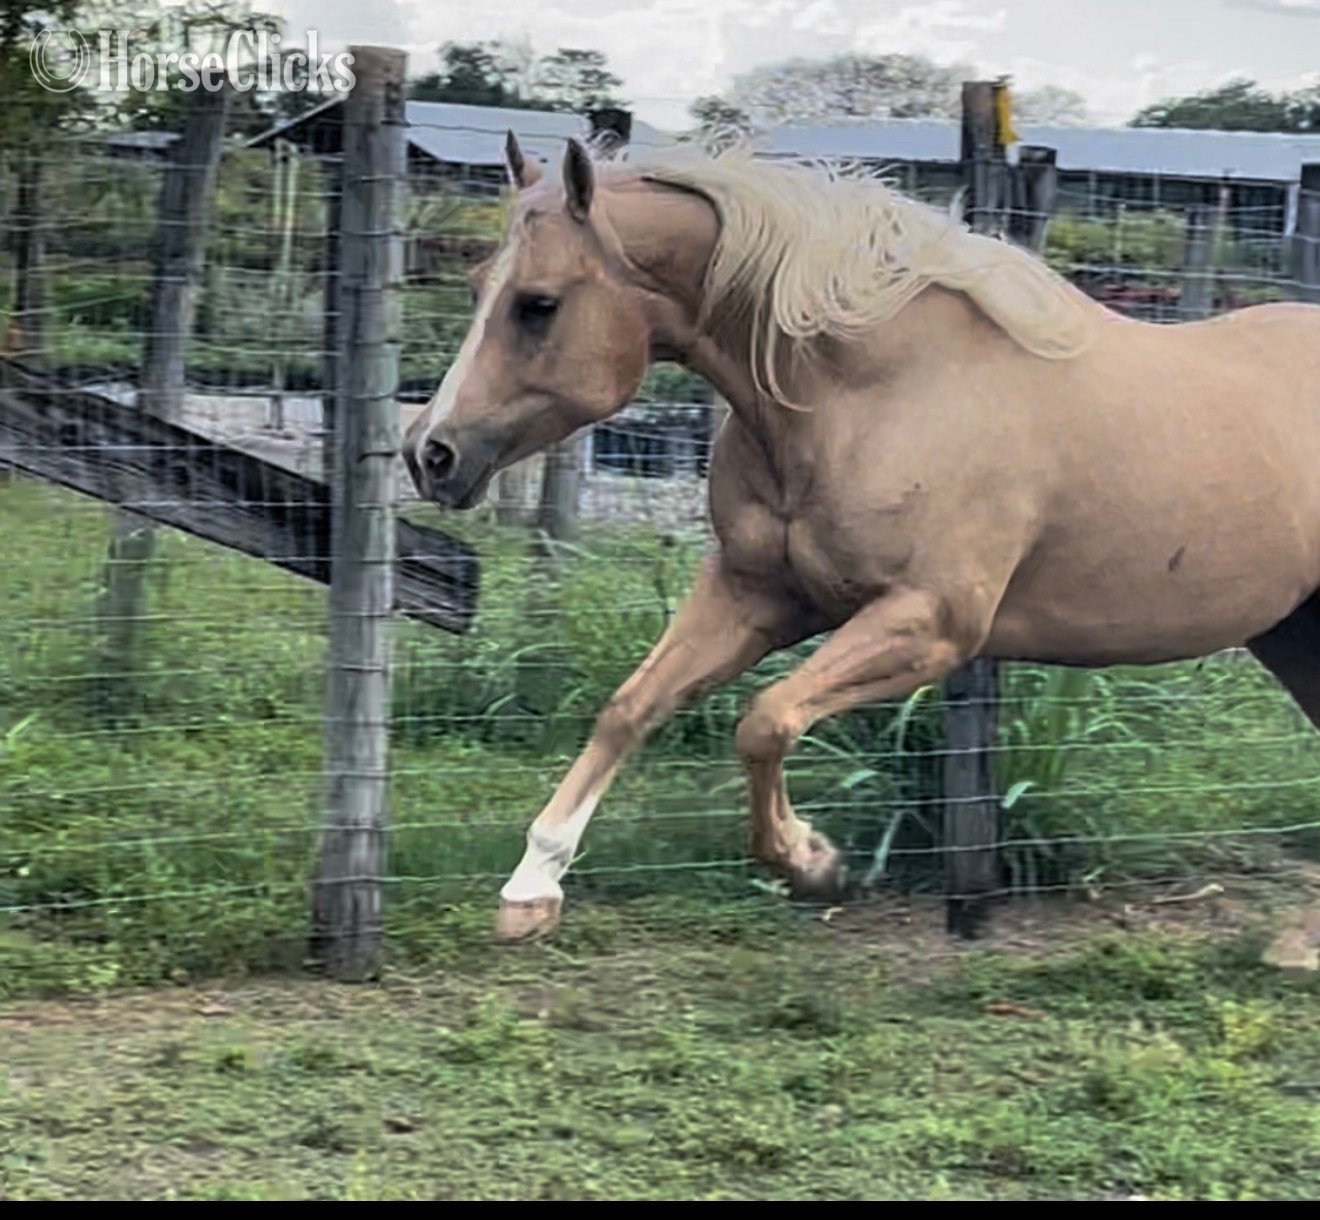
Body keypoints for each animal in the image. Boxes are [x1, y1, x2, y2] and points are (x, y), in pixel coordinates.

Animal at [402, 131, 1320, 944]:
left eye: (539, 304)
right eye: (479, 284)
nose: (429, 453)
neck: (874, 390)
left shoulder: (930, 625)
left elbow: (765, 719)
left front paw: (812, 862)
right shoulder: (755, 594)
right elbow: (630, 708)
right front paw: (531, 888)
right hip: (1293, 636)